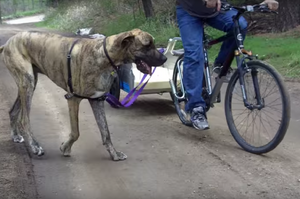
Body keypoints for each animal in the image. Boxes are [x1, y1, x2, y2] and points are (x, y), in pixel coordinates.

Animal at [0, 28, 166, 161]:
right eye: (147, 45)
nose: (164, 58)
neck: (104, 56)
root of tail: (7, 43)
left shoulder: (97, 100)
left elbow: (106, 132)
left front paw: (114, 154)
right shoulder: (73, 99)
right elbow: (76, 132)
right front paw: (65, 148)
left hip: (29, 83)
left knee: (13, 111)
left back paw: (16, 135)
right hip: (27, 82)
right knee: (24, 119)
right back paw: (35, 146)